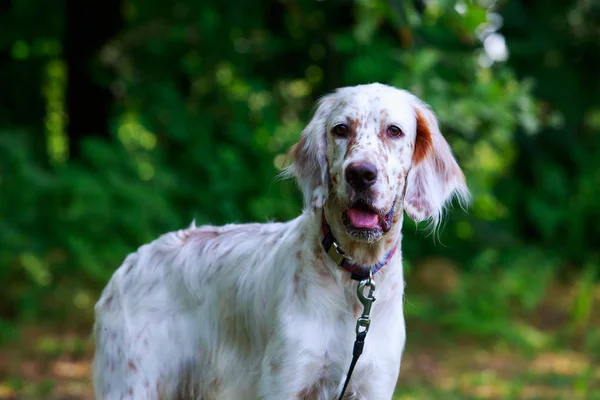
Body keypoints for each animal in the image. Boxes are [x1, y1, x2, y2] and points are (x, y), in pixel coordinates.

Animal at [92, 83, 468, 398]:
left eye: (394, 131)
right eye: (341, 129)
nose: (360, 174)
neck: (351, 278)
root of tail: (131, 262)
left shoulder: (373, 386)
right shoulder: (285, 381)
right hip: (132, 383)